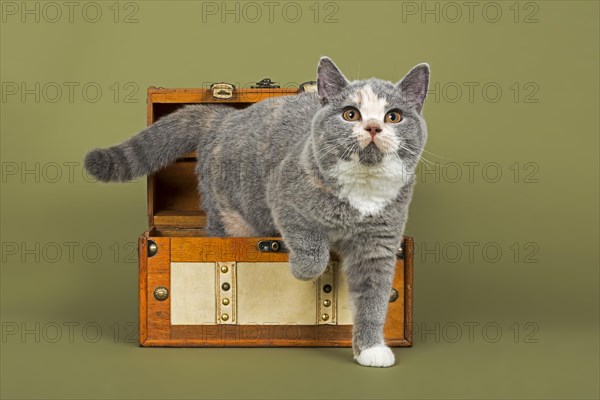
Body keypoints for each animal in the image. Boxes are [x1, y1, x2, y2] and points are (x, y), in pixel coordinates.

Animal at [85, 57, 432, 368]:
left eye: (394, 116)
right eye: (350, 114)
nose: (373, 127)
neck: (362, 191)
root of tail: (223, 118)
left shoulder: (379, 244)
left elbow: (374, 299)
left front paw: (371, 350)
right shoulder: (283, 195)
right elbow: (309, 243)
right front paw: (304, 269)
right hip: (228, 213)